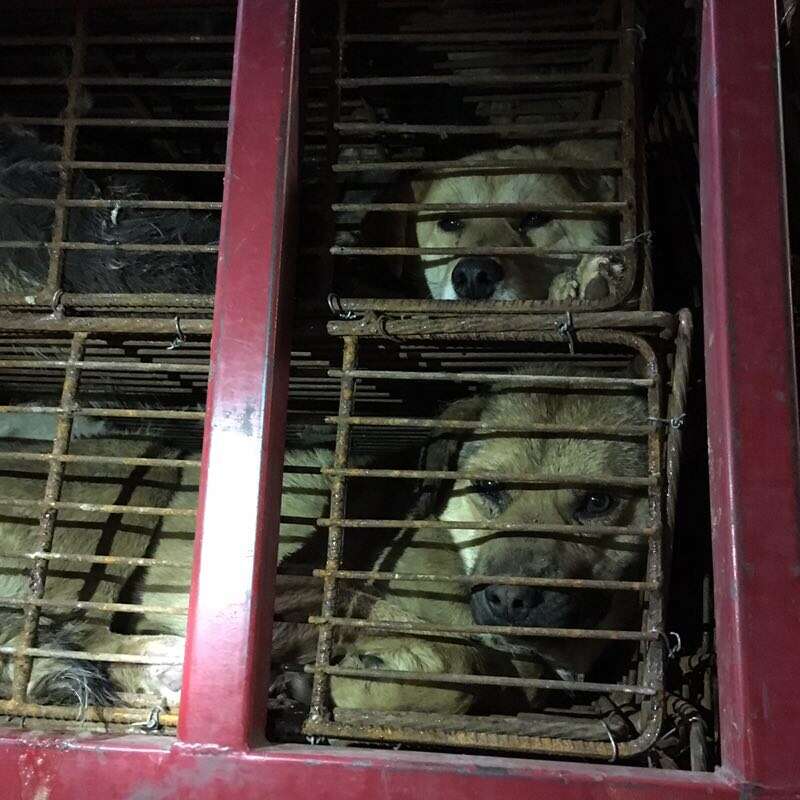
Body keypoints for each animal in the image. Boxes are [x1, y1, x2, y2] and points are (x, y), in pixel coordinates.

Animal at [0, 360, 648, 716]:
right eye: (488, 488)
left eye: (597, 502)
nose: (511, 600)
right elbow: (455, 671)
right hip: (139, 473)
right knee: (69, 637)